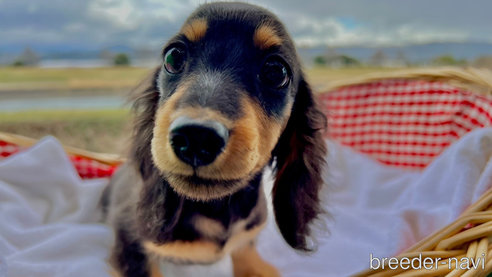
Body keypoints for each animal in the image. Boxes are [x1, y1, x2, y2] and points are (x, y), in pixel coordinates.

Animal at [103, 2, 326, 276]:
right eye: (173, 57)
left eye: (276, 71)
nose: (196, 137)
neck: (216, 208)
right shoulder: (129, 242)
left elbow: (245, 247)